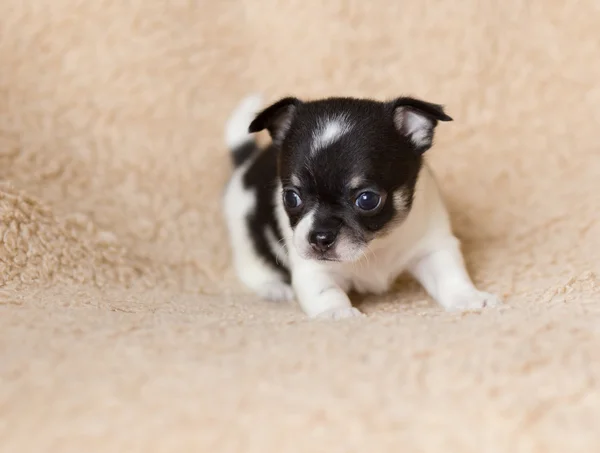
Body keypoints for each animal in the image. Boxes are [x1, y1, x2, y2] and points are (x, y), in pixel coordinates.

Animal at [223, 92, 500, 318]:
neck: (375, 246)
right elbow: (326, 292)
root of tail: (247, 160)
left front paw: (470, 298)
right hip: (243, 232)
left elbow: (450, 276)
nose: (320, 238)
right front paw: (337, 313)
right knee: (252, 265)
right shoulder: (313, 268)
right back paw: (274, 288)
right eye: (291, 198)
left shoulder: (432, 247)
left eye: (367, 200)